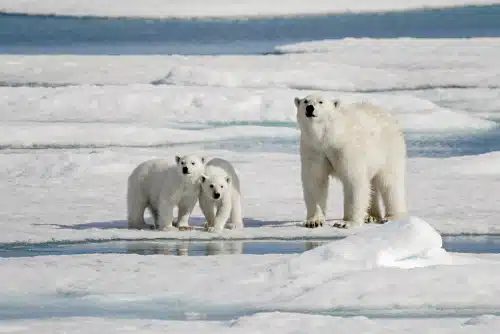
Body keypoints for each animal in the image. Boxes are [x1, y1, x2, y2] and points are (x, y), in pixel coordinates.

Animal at [294, 94, 408, 230]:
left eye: (321, 102)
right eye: (305, 101)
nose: (310, 108)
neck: (329, 137)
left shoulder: (345, 148)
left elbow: (353, 180)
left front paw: (346, 223)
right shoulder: (314, 149)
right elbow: (315, 181)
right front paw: (313, 222)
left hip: (388, 149)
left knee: (389, 182)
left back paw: (392, 217)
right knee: (372, 184)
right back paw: (370, 216)